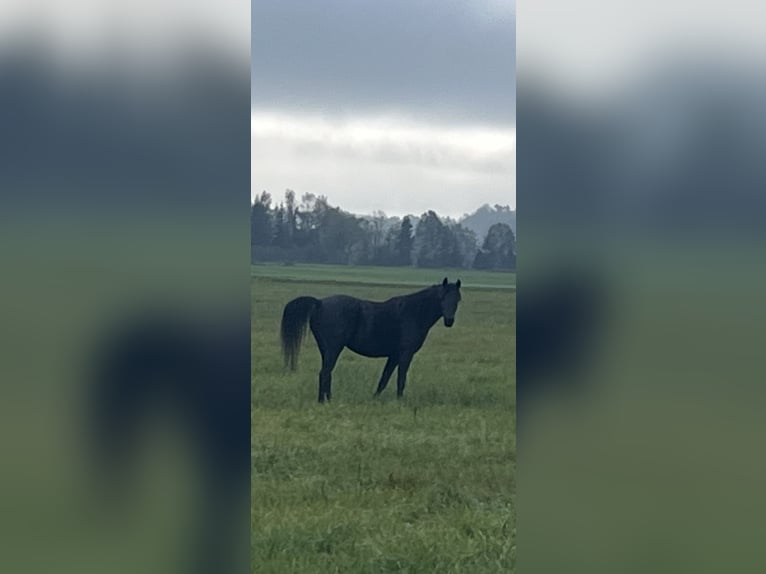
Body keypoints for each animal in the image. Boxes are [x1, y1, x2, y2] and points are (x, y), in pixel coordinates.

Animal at [280, 277, 462, 402]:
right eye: (442, 297)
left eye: (458, 299)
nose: (449, 321)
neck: (413, 313)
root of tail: (319, 303)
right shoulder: (405, 354)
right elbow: (400, 378)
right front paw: (399, 401)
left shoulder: (394, 355)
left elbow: (385, 378)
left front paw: (375, 398)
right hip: (333, 349)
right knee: (324, 373)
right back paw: (324, 402)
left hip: (326, 350)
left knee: (326, 373)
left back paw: (327, 400)